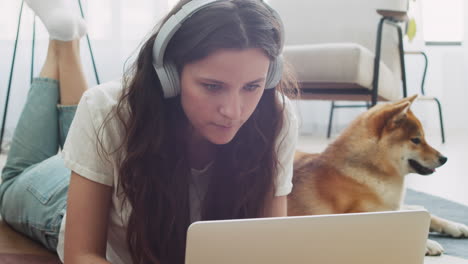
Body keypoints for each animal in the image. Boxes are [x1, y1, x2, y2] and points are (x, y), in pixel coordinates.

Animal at [288, 95, 468, 256]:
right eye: (416, 140)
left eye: (423, 138)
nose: (444, 158)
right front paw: (428, 244)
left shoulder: (390, 206)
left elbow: (427, 216)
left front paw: (454, 226)